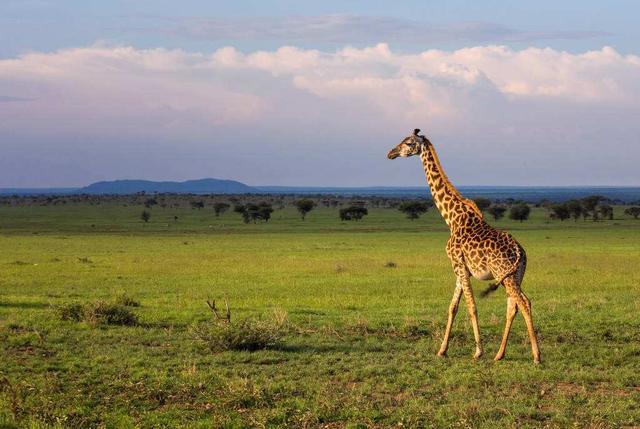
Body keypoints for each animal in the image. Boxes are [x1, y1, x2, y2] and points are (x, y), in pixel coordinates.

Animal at [384, 128, 540, 362]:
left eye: (409, 143)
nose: (390, 153)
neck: (452, 218)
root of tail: (520, 252)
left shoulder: (459, 265)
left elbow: (471, 306)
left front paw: (478, 351)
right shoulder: (460, 269)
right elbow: (453, 307)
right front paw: (442, 350)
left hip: (505, 274)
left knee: (524, 302)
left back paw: (536, 355)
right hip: (515, 275)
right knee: (512, 306)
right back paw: (500, 354)